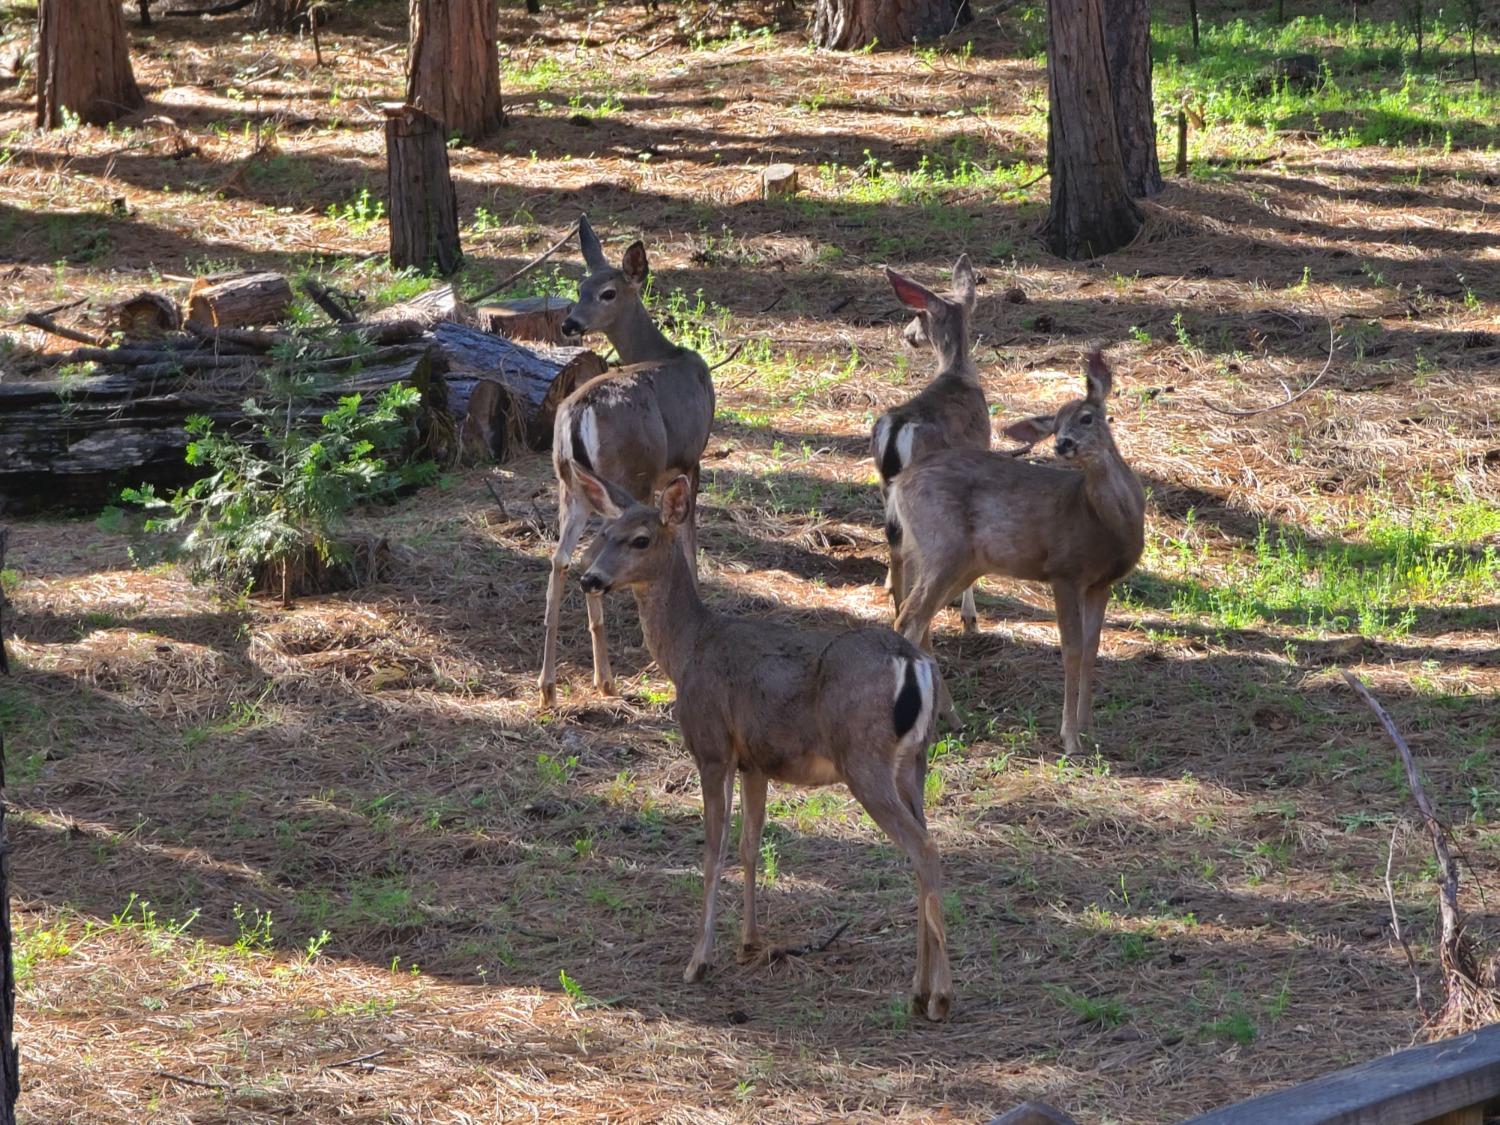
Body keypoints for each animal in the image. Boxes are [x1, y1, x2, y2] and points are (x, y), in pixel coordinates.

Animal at [540, 216, 714, 708]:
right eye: (580, 288)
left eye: (604, 292)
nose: (570, 323)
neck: (666, 352)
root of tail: (577, 412)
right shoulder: (690, 458)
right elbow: (688, 539)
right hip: (627, 475)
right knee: (586, 557)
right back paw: (604, 678)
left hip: (572, 487)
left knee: (560, 559)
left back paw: (550, 686)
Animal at [567, 468, 954, 1020]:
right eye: (601, 533)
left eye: (640, 539)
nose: (590, 579)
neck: (688, 650)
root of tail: (916, 664)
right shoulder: (755, 760)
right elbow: (751, 844)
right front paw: (749, 942)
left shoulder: (711, 746)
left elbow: (713, 851)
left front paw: (699, 961)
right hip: (914, 763)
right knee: (925, 847)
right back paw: (921, 988)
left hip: (863, 758)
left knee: (924, 849)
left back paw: (938, 996)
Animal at [876, 258, 990, 636]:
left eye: (917, 315)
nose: (907, 335)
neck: (957, 371)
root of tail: (897, 430)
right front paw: (969, 615)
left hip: (887, 487)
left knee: (897, 548)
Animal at [882, 343, 1140, 759]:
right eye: (1055, 426)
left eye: (1086, 418)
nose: (1063, 444)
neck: (1105, 522)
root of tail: (900, 484)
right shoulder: (1064, 570)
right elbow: (1071, 648)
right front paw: (1070, 738)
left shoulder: (1101, 583)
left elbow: (1092, 648)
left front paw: (1089, 727)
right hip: (944, 547)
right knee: (910, 619)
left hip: (961, 562)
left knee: (918, 616)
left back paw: (952, 716)